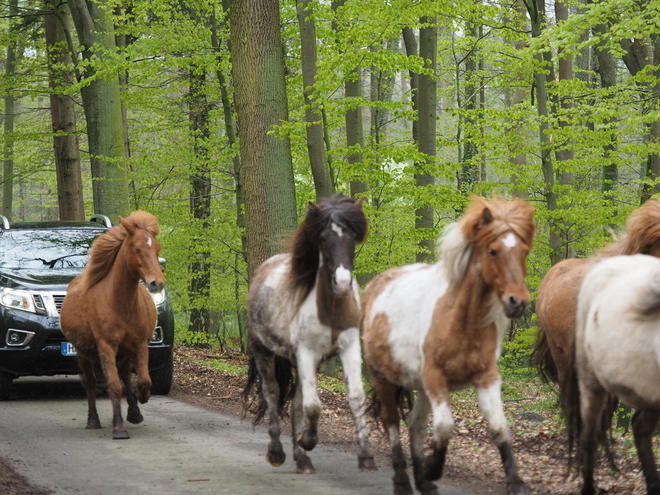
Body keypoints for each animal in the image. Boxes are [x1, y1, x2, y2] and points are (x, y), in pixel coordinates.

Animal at [60, 211, 165, 440]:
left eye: (157, 249)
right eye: (137, 249)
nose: (157, 283)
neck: (119, 303)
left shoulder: (140, 344)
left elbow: (143, 380)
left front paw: (141, 399)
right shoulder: (106, 346)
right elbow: (114, 386)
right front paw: (118, 428)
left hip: (124, 352)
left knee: (125, 375)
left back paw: (134, 413)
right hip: (84, 351)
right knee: (90, 383)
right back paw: (93, 420)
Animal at [242, 196, 376, 474]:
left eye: (352, 237)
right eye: (323, 238)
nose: (343, 284)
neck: (330, 309)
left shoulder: (350, 349)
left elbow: (356, 398)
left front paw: (366, 457)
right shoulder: (306, 352)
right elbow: (313, 406)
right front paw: (308, 440)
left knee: (296, 402)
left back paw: (301, 458)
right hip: (264, 351)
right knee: (272, 392)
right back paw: (278, 452)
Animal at [360, 198, 536, 495]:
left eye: (524, 251)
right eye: (493, 251)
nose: (518, 302)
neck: (461, 319)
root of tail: (374, 285)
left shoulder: (487, 377)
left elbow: (499, 427)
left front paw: (516, 482)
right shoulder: (435, 377)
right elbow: (444, 427)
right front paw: (433, 468)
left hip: (420, 386)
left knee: (416, 424)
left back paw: (422, 481)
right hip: (382, 377)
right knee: (391, 421)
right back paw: (403, 480)